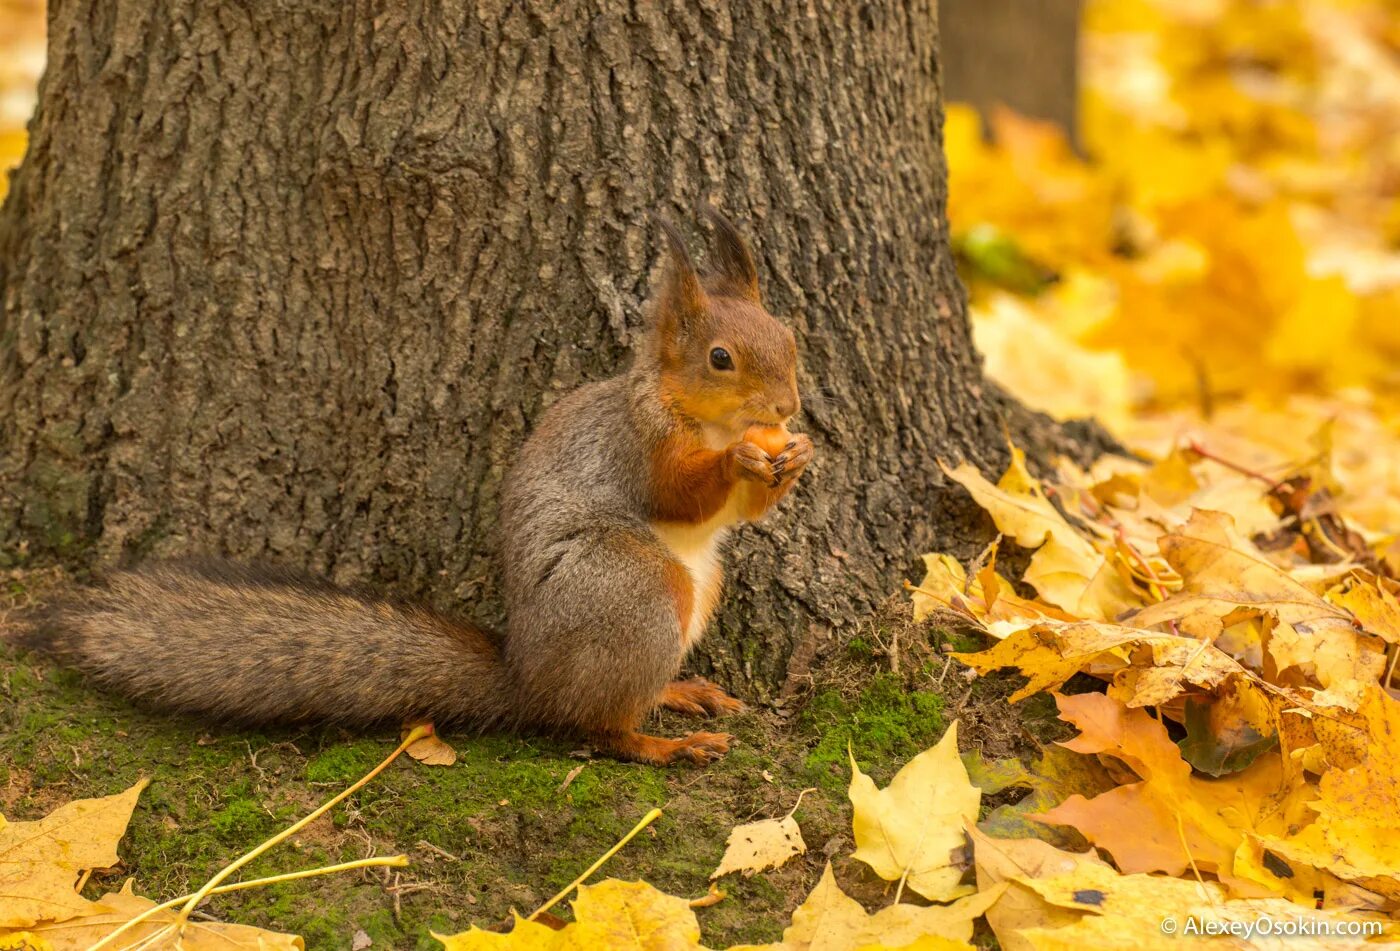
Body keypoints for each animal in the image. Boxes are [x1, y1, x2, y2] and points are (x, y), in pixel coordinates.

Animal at [19, 210, 812, 767]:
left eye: (789, 336)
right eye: (720, 358)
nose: (786, 408)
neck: (701, 417)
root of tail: (529, 677)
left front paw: (797, 458)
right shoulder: (636, 443)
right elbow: (678, 494)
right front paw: (744, 460)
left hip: (691, 591)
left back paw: (680, 691)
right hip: (632, 589)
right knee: (595, 724)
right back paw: (663, 743)